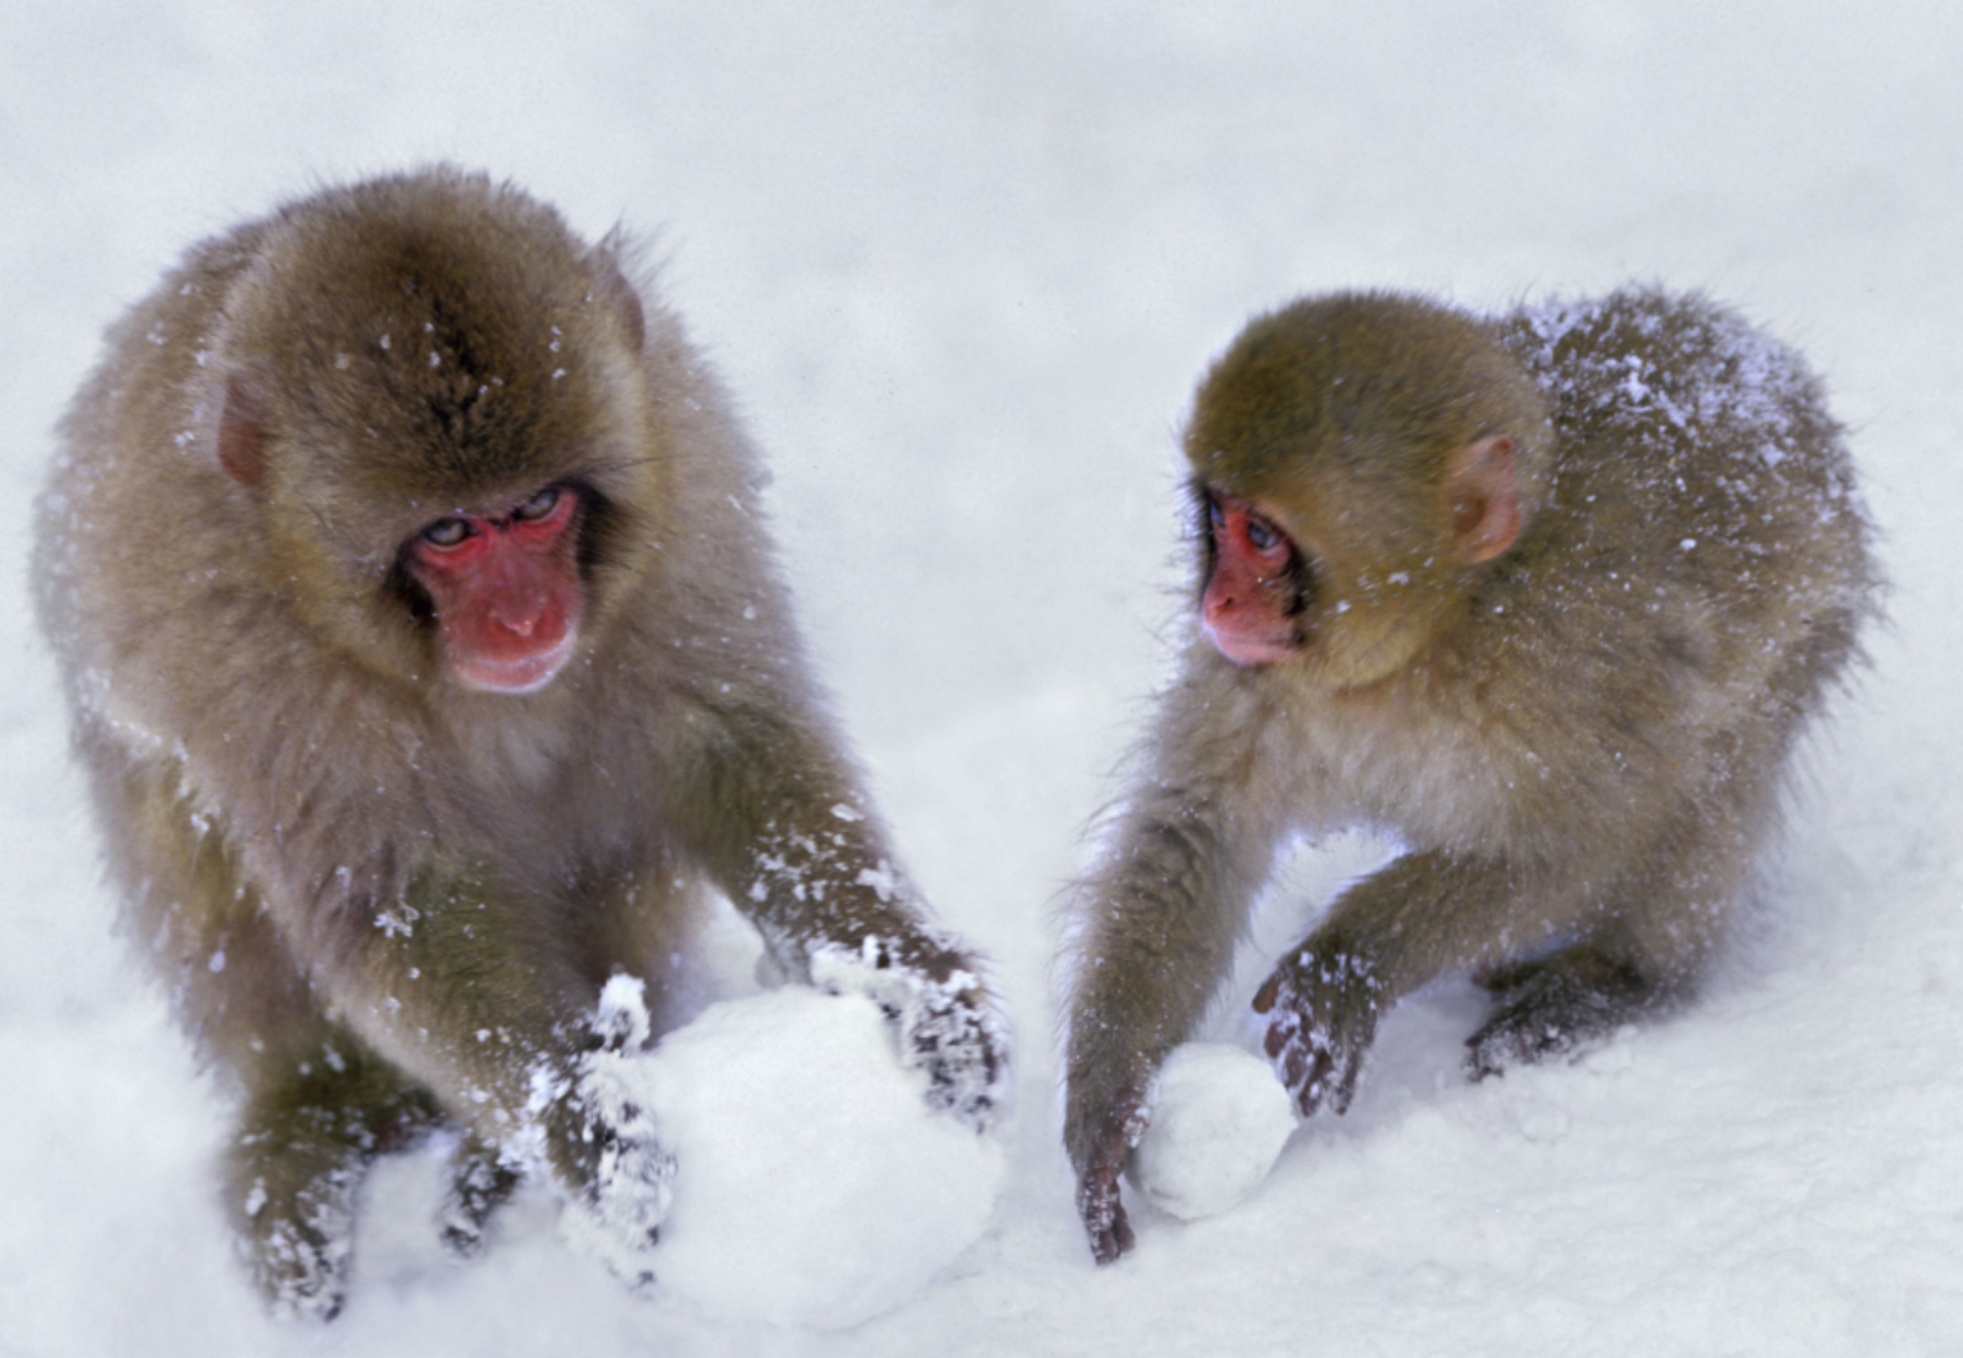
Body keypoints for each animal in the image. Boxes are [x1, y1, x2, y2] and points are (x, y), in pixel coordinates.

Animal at [32, 166, 1012, 1318]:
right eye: (450, 531)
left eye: (538, 505)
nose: (524, 618)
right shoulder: (253, 647)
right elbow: (402, 899)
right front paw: (583, 1121)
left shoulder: (684, 499)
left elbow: (731, 749)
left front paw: (907, 974)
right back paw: (313, 1113)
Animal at [1067, 286, 1876, 1263]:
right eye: (1216, 519)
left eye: (1262, 537)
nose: (1214, 601)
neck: (1429, 636)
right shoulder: (1254, 679)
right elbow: (1198, 832)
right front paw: (1105, 1103)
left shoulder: (1571, 668)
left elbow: (1591, 838)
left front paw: (1352, 960)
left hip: (1815, 620)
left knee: (1714, 774)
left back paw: (1624, 982)